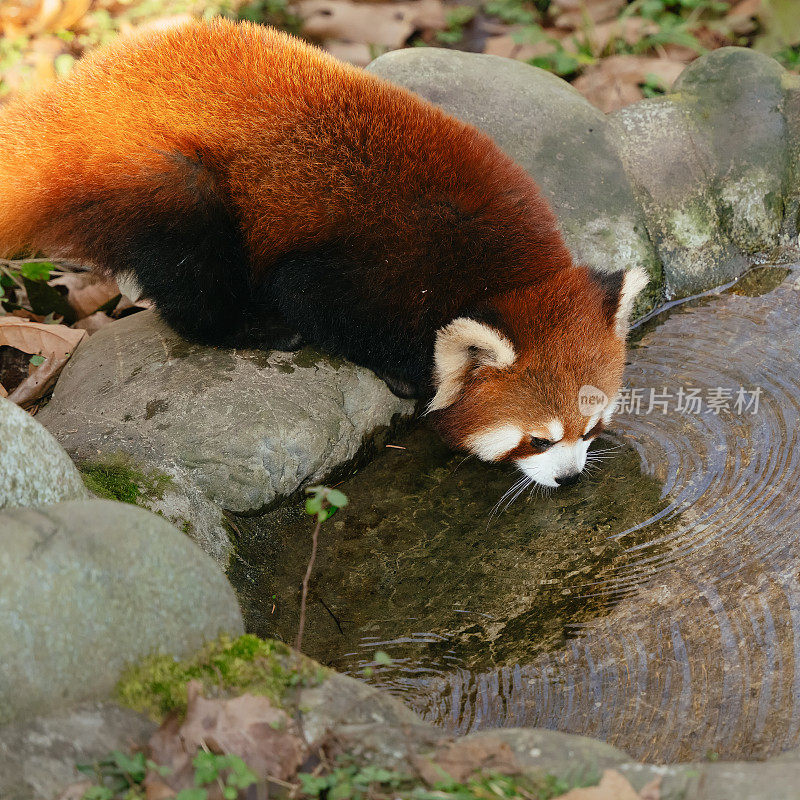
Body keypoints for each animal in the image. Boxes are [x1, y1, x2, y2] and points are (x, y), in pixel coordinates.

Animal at [0, 20, 648, 488]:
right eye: (539, 439)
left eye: (592, 429)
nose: (569, 478)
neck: (499, 274)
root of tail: (74, 102)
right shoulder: (376, 266)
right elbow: (317, 301)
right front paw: (411, 375)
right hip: (160, 176)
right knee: (193, 270)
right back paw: (250, 327)